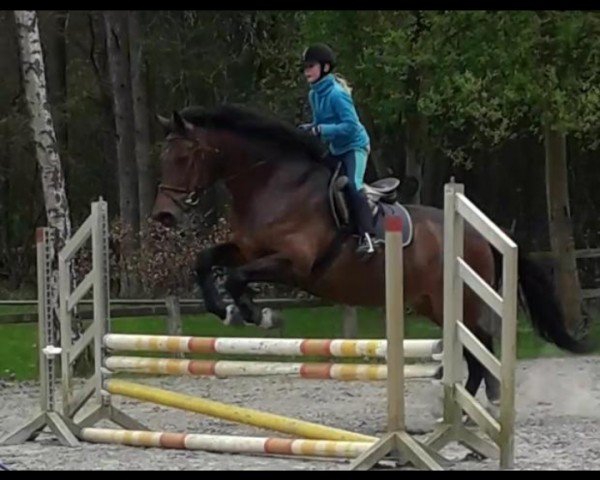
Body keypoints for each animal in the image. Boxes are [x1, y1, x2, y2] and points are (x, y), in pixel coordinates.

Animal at [151, 103, 596, 404]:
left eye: (184, 157)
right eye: (164, 157)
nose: (163, 215)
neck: (273, 183)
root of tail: (482, 233)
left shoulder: (293, 264)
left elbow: (237, 276)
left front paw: (257, 315)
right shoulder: (247, 249)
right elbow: (207, 262)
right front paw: (225, 310)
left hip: (461, 303)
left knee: (479, 347)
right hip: (434, 304)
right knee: (475, 351)